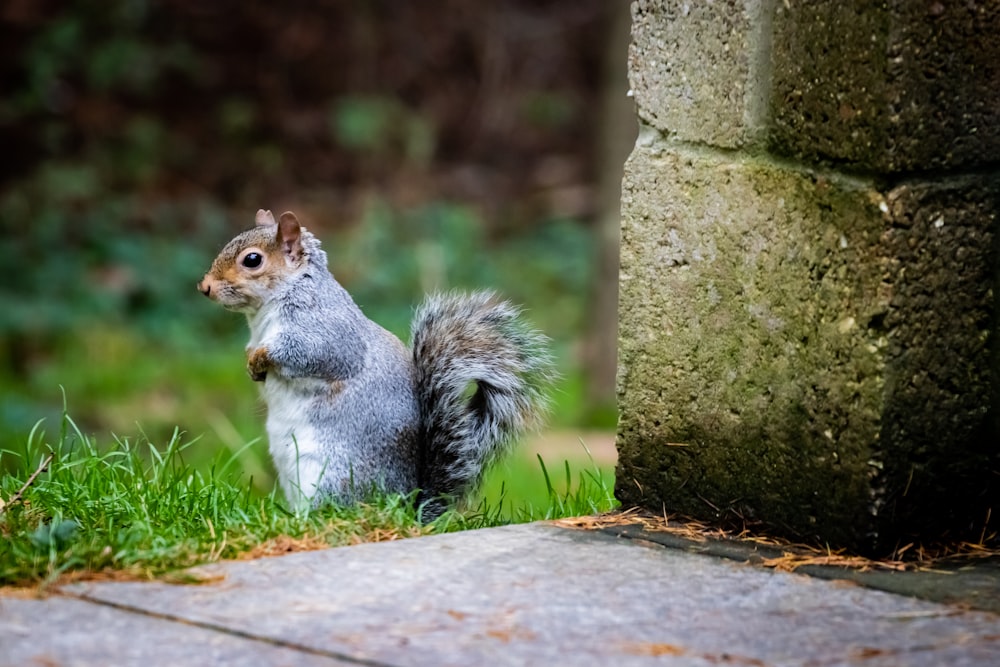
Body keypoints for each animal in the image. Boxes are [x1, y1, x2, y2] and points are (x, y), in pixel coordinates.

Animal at [198, 209, 552, 516]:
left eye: (252, 260)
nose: (205, 287)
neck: (264, 313)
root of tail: (408, 506)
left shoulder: (327, 333)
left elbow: (306, 353)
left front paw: (261, 357)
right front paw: (251, 364)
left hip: (332, 474)